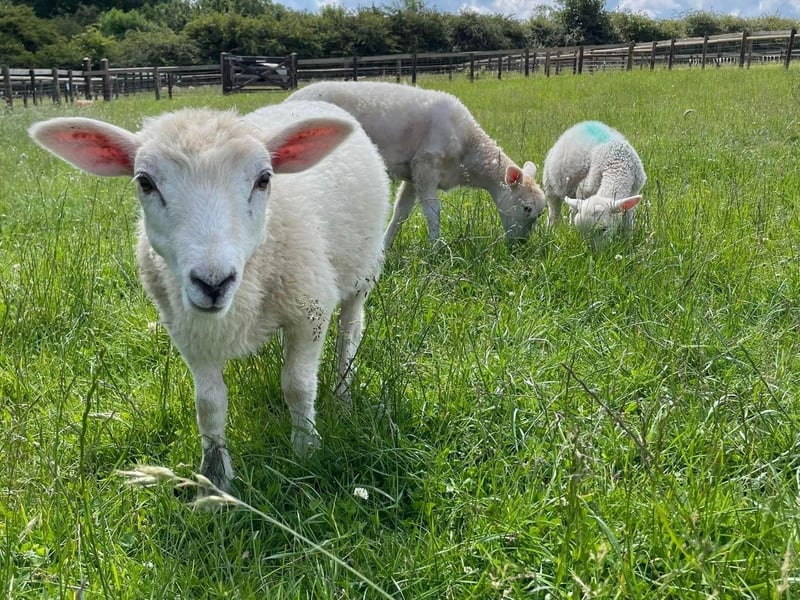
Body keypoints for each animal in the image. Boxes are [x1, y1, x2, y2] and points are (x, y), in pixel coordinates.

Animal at [29, 100, 390, 492]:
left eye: (264, 179)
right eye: (145, 182)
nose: (213, 283)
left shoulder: (310, 310)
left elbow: (297, 386)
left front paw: (306, 450)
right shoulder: (188, 329)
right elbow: (209, 404)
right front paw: (215, 479)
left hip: (362, 271)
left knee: (349, 333)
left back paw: (342, 396)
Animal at [286, 81, 546, 248]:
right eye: (526, 208)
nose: (520, 246)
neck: (468, 148)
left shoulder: (413, 175)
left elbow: (401, 212)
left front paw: (385, 247)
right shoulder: (426, 166)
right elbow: (433, 211)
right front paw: (436, 249)